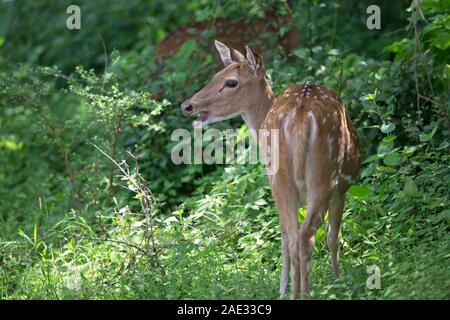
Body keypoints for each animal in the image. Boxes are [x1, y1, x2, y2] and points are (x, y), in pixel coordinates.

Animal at [181, 40, 360, 300]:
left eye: (230, 81)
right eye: (215, 76)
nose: (187, 106)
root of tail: (301, 116)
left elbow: (287, 238)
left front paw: (282, 289)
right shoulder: (342, 188)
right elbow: (331, 237)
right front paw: (336, 282)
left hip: (284, 179)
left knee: (295, 237)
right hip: (324, 177)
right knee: (305, 237)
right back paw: (306, 294)